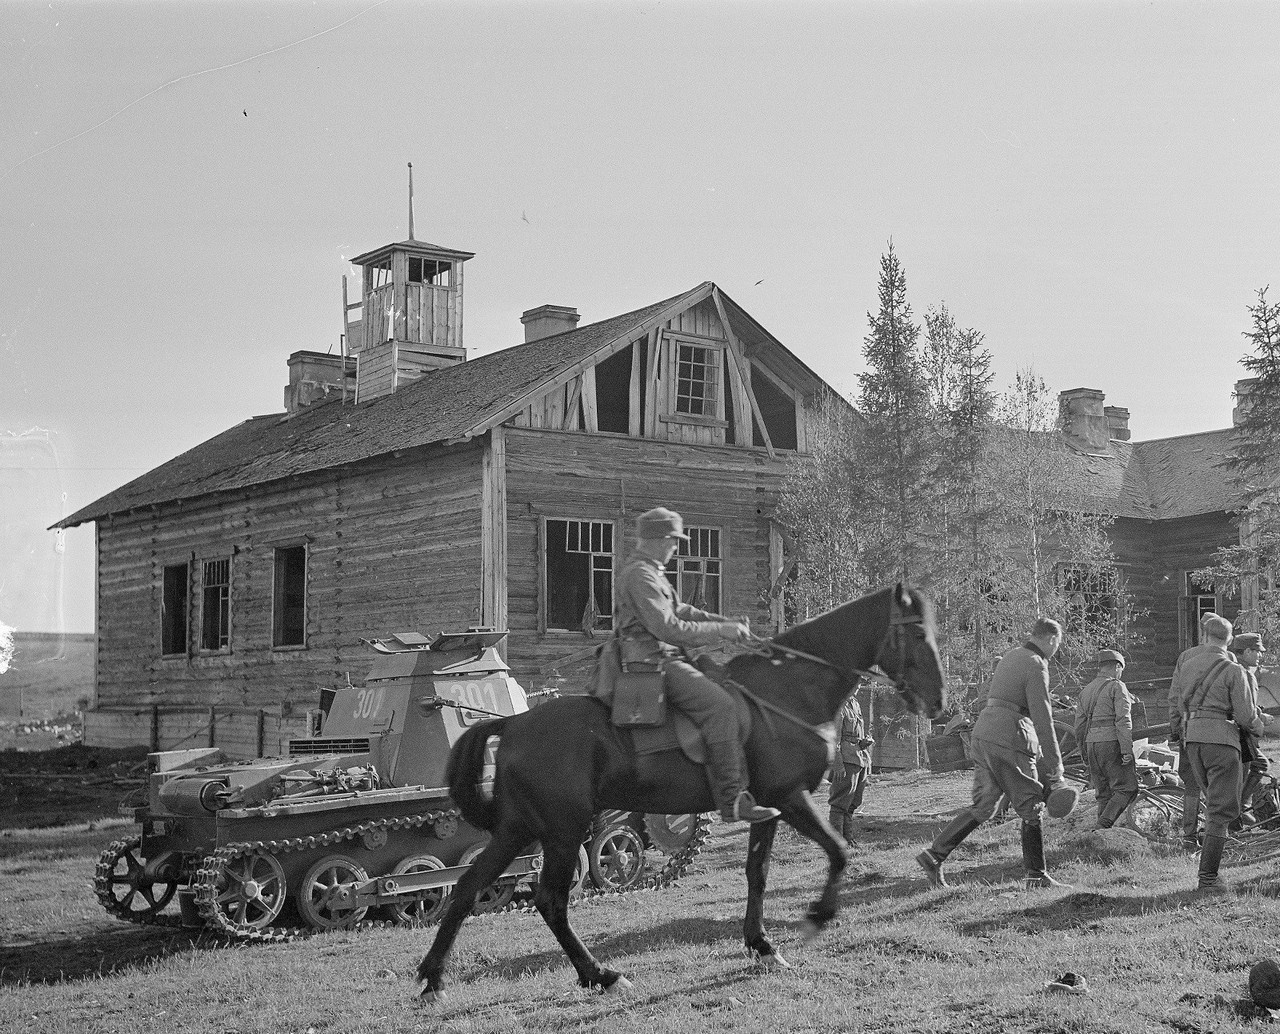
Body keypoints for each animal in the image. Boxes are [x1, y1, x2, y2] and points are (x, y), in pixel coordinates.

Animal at [414, 586, 947, 998]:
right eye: (918, 634)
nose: (940, 701)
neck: (787, 691)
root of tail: (514, 724)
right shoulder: (791, 797)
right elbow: (838, 852)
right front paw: (817, 916)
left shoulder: (767, 809)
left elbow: (757, 874)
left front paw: (762, 946)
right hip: (563, 831)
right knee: (550, 901)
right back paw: (601, 975)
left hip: (519, 829)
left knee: (468, 888)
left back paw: (433, 979)